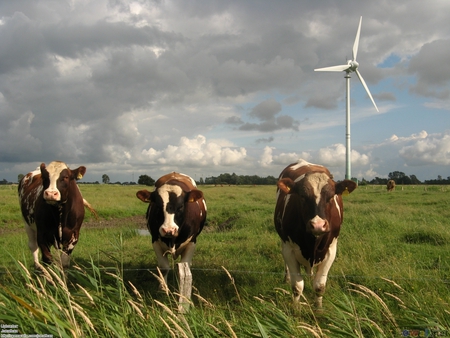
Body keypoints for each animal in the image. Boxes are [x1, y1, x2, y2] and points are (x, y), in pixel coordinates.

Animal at [272, 158, 356, 308]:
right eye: (302, 196)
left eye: (331, 197)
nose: (318, 225)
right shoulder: (289, 249)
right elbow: (297, 286)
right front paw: (296, 309)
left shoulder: (331, 250)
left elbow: (319, 286)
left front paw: (318, 308)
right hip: (283, 242)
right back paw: (286, 277)